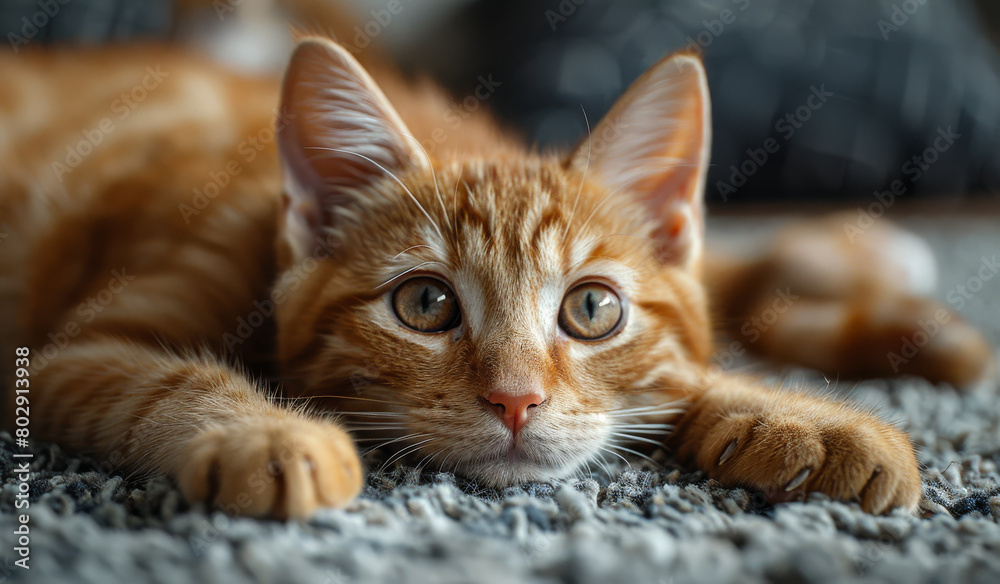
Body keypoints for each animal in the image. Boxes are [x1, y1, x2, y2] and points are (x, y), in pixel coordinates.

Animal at [0, 37, 992, 520]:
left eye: (590, 308)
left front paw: (805, 416)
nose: (516, 402)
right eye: (424, 303)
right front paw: (269, 436)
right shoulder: (75, 355)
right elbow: (162, 382)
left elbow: (687, 369)